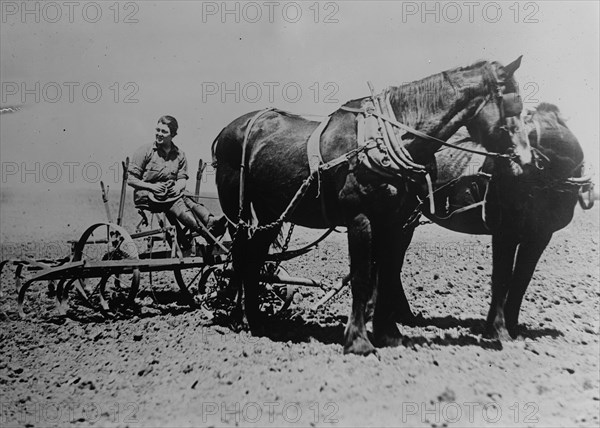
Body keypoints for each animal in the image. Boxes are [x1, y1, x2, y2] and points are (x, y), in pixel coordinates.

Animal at [211, 58, 528, 356]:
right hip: (237, 212)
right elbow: (363, 276)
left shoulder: (395, 221)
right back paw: (240, 317)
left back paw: (257, 321)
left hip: (271, 213)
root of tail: (229, 129)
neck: (384, 141)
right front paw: (358, 340)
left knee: (253, 258)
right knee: (240, 257)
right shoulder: (360, 217)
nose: (524, 160)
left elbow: (386, 274)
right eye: (514, 104)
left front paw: (389, 334)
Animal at [422, 102, 584, 340]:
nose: (486, 180)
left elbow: (521, 280)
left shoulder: (539, 236)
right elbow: (501, 277)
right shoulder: (504, 232)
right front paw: (496, 329)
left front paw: (512, 326)